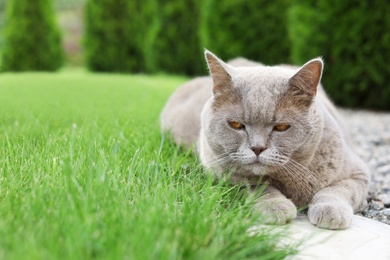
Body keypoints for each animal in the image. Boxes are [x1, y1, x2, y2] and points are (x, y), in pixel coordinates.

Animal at [160, 49, 370, 229]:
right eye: (236, 125)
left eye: (281, 127)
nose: (257, 148)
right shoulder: (222, 175)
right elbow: (259, 186)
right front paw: (276, 207)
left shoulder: (359, 174)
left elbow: (336, 190)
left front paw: (331, 211)